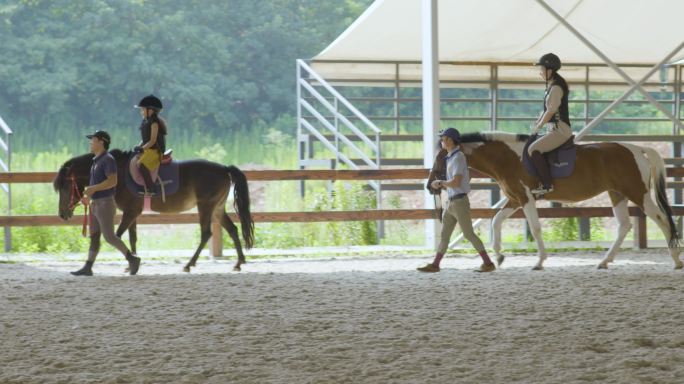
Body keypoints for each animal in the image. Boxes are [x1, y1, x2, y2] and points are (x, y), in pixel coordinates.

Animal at [52, 148, 252, 272]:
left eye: (65, 187)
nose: (62, 214)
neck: (117, 173)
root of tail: (224, 168)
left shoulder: (131, 212)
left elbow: (118, 234)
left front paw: (130, 261)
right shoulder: (132, 213)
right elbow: (132, 237)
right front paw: (131, 262)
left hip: (206, 207)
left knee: (206, 234)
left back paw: (189, 264)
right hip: (217, 209)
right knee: (232, 229)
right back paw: (239, 263)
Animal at [424, 132, 680, 270]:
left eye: (442, 157)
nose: (430, 185)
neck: (507, 157)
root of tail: (635, 148)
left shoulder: (526, 198)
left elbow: (535, 228)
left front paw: (539, 261)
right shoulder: (514, 199)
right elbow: (495, 221)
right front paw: (498, 256)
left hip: (638, 194)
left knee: (662, 219)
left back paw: (676, 259)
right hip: (617, 194)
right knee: (624, 225)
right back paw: (605, 261)